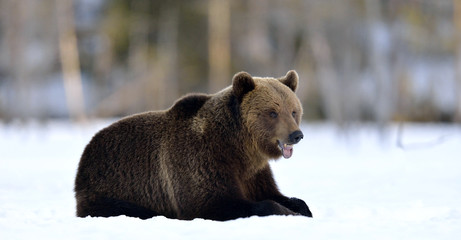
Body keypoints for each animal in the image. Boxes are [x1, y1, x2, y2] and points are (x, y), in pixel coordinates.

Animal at [75, 70, 312, 221]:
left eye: (293, 111)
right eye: (272, 112)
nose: (296, 135)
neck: (238, 147)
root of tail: (87, 149)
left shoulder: (253, 173)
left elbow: (275, 194)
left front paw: (301, 208)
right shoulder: (201, 160)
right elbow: (212, 201)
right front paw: (286, 212)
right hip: (110, 186)